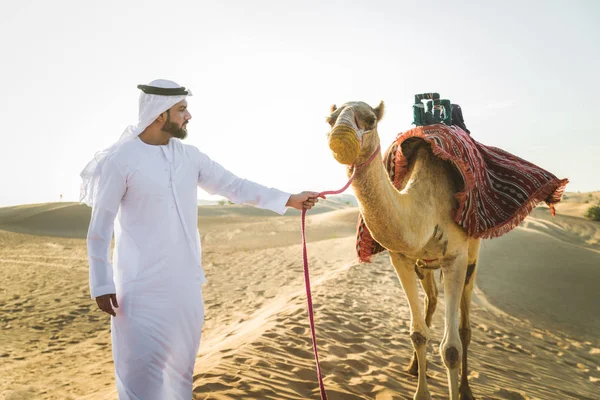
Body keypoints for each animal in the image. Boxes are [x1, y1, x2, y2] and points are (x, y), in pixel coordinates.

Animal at [326, 101, 480, 400]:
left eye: (371, 120)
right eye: (330, 119)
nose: (339, 138)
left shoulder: (454, 257)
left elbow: (451, 349)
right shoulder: (401, 258)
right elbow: (418, 333)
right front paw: (420, 392)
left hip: (473, 256)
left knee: (465, 326)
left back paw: (466, 389)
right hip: (426, 265)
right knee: (431, 300)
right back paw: (413, 366)